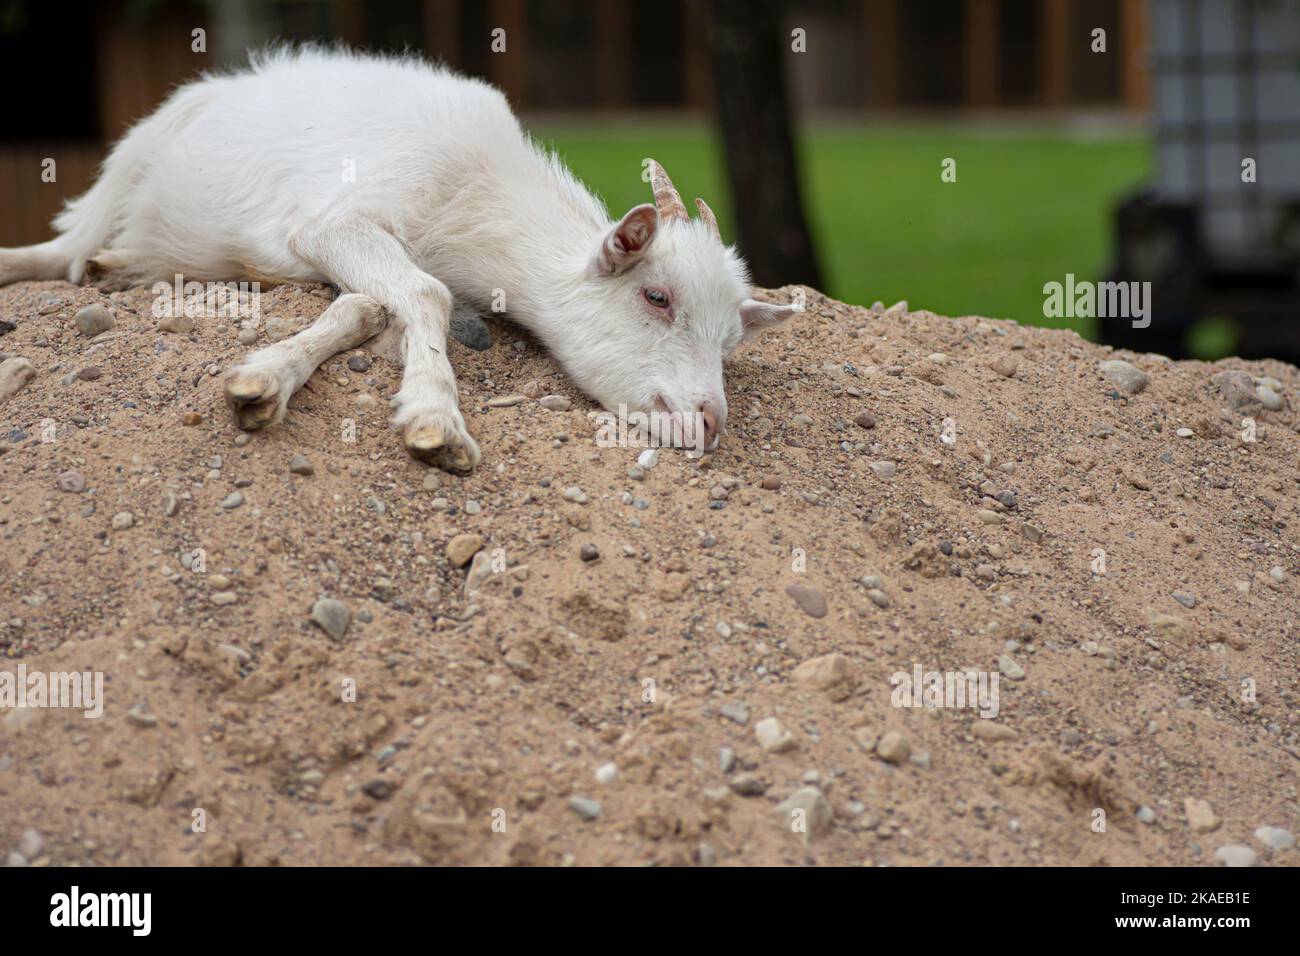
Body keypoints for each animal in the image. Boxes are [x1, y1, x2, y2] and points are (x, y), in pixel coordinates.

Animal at [0, 46, 798, 473]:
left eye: (731, 342)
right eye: (656, 296)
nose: (709, 421)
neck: (479, 192)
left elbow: (370, 304)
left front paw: (274, 377)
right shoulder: (332, 222)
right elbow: (426, 292)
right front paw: (435, 417)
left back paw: (122, 267)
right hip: (132, 154)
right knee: (64, 245)